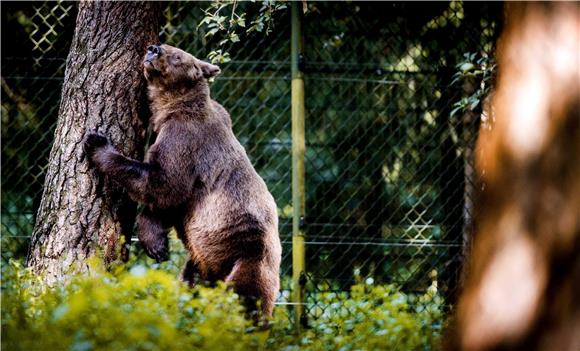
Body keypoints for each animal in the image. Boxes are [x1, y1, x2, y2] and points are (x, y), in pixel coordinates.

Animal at [85, 43, 282, 320]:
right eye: (165, 46)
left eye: (177, 55)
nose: (153, 48)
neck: (169, 109)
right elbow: (166, 205)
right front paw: (157, 245)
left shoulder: (185, 140)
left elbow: (164, 184)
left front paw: (96, 142)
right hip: (204, 263)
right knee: (191, 284)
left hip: (249, 256)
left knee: (245, 299)